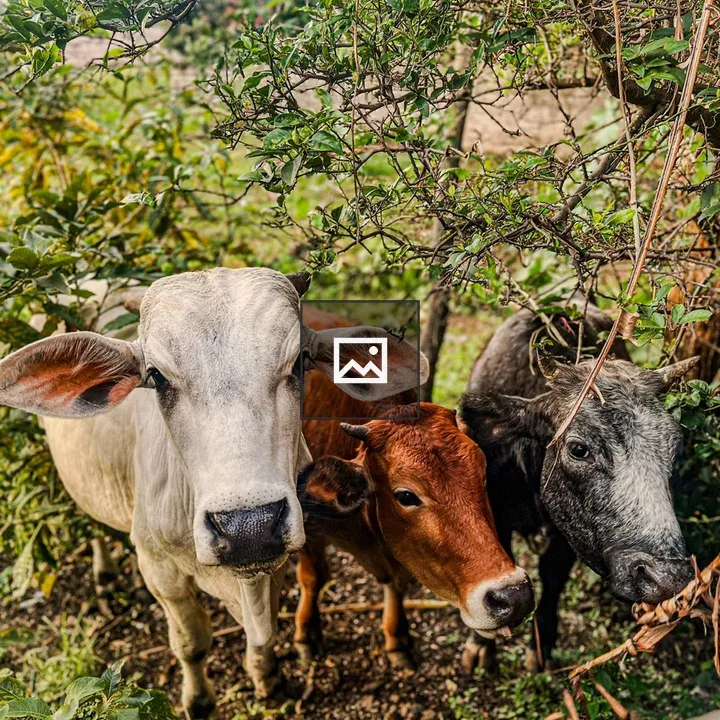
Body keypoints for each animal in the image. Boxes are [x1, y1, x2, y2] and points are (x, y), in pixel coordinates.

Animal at [0, 267, 425, 717]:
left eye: (300, 361)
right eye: (156, 376)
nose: (248, 527)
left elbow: (265, 634)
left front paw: (267, 677)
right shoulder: (161, 571)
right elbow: (191, 644)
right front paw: (199, 700)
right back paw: (105, 575)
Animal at [291, 310, 534, 669]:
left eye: (483, 476)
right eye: (406, 496)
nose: (513, 596)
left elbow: (397, 581)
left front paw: (397, 638)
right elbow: (314, 576)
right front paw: (307, 633)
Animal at [457, 305, 697, 672]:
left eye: (675, 447)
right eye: (579, 449)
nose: (667, 577)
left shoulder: (570, 532)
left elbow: (552, 575)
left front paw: (541, 646)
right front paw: (481, 645)